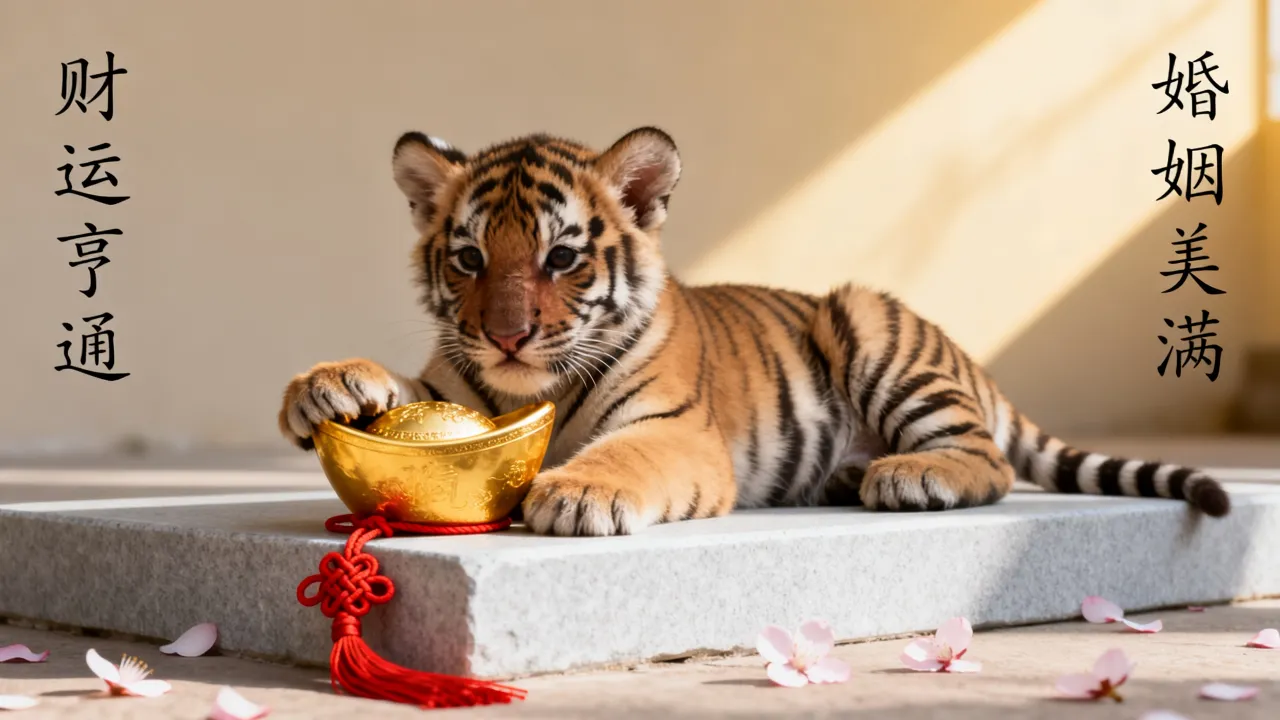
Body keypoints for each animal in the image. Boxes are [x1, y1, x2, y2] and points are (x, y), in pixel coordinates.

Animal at [278, 126, 1231, 536]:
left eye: (562, 257)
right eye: (470, 258)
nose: (507, 337)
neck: (531, 383)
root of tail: (973, 364)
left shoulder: (675, 431)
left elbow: (623, 456)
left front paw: (579, 492)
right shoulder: (451, 384)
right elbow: (408, 392)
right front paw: (324, 384)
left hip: (870, 322)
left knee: (987, 459)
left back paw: (908, 475)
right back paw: (853, 478)